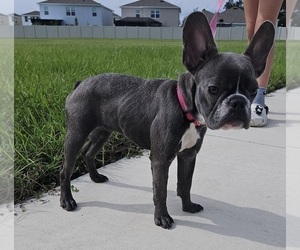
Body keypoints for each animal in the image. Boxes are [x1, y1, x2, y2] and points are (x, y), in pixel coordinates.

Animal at [59, 12, 276, 229]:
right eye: (213, 89)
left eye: (253, 90)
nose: (238, 101)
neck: (186, 109)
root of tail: (80, 84)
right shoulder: (160, 160)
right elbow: (160, 191)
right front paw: (162, 217)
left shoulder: (188, 156)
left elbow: (185, 184)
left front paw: (188, 207)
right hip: (77, 133)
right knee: (66, 168)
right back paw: (67, 200)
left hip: (102, 132)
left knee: (89, 152)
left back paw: (95, 177)